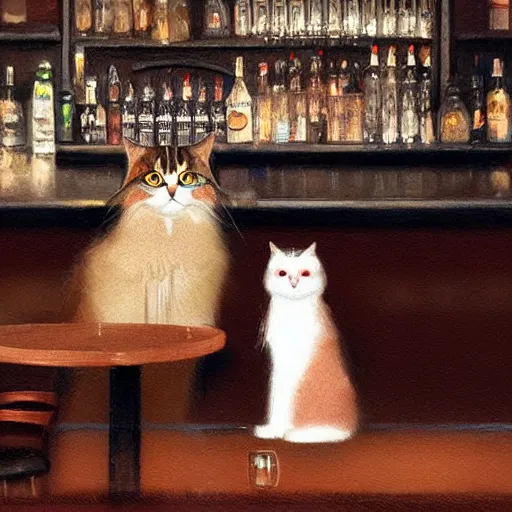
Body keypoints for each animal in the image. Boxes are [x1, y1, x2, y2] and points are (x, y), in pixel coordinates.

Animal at [254, 242, 358, 442]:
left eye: (305, 273)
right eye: (282, 273)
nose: (293, 282)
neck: (293, 308)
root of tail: (350, 426)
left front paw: (276, 431)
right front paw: (272, 429)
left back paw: (296, 434)